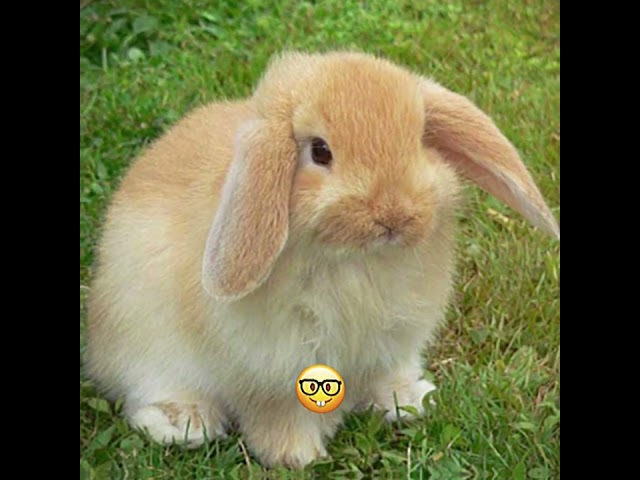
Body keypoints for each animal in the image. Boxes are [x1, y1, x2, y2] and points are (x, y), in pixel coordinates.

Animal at [84, 51, 559, 469]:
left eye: (420, 139)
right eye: (320, 151)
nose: (393, 216)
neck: (357, 262)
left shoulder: (390, 343)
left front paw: (403, 402)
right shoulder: (274, 369)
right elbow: (280, 415)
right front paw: (297, 456)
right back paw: (183, 422)